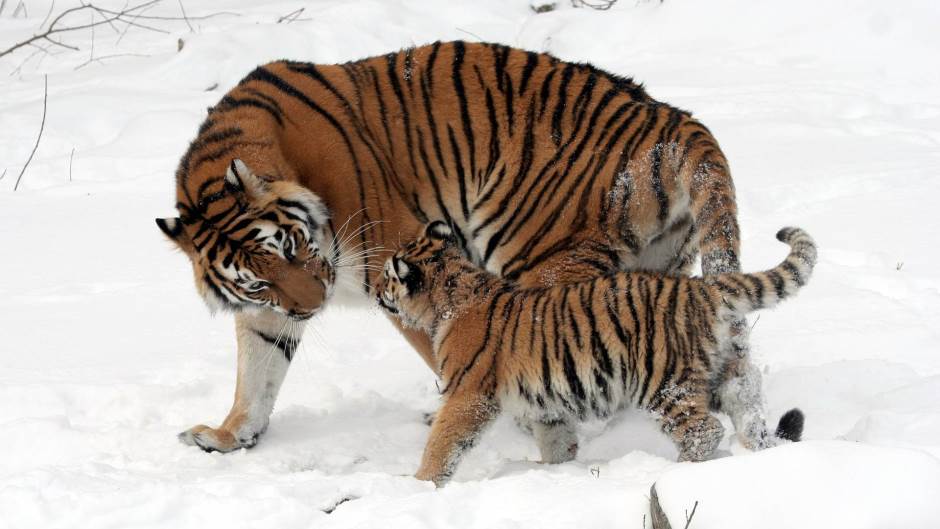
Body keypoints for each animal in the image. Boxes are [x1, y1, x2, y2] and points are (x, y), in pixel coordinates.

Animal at [157, 40, 759, 458]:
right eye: (259, 279)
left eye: (291, 246)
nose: (313, 306)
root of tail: (673, 118)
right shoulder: (269, 310)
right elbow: (256, 372)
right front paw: (229, 436)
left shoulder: (398, 261)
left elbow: (445, 348)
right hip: (661, 269)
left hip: (541, 257)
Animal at [378, 222, 815, 486]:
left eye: (386, 276)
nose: (378, 291)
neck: (451, 295)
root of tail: (702, 287)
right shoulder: (545, 402)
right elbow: (556, 439)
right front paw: (552, 469)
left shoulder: (468, 395)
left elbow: (443, 442)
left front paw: (419, 484)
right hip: (726, 373)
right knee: (749, 409)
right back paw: (759, 455)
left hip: (664, 383)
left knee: (703, 430)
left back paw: (675, 472)